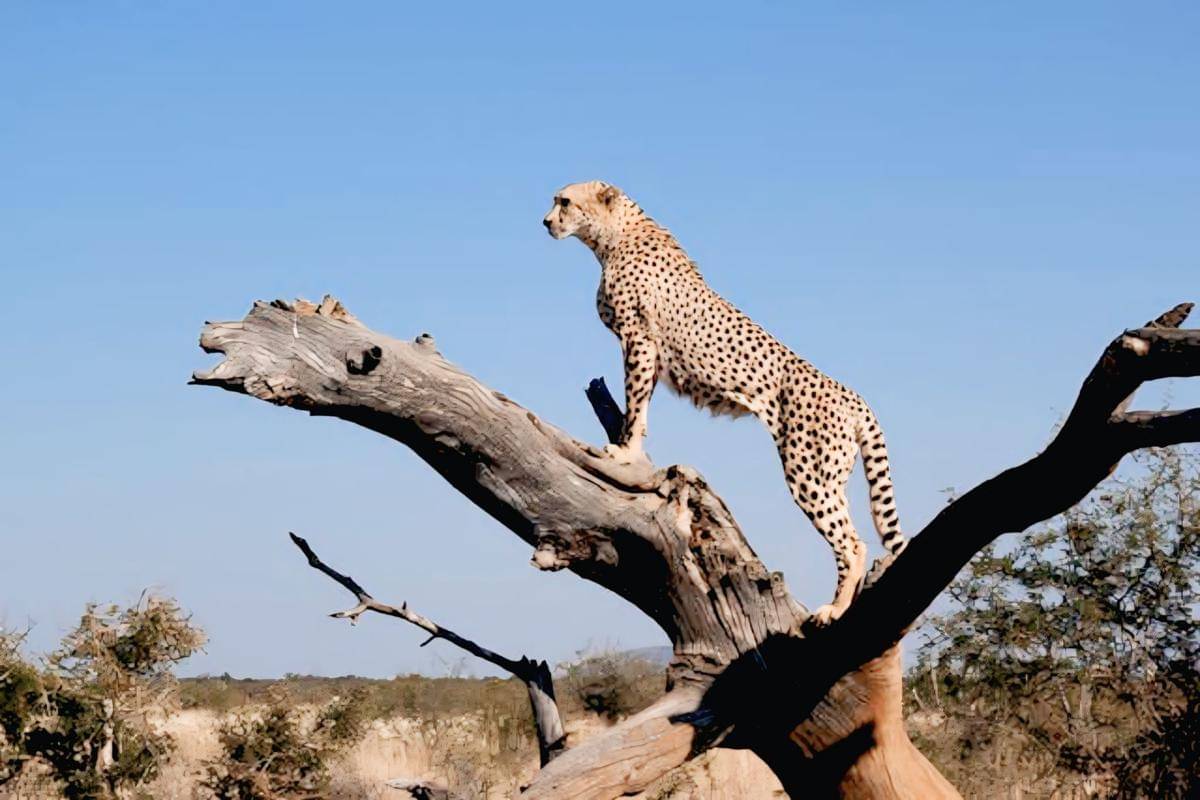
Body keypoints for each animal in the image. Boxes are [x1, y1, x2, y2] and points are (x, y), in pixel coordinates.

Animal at [543, 180, 906, 624]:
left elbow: (636, 403)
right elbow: (640, 406)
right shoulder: (647, 348)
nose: (545, 221)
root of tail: (853, 395)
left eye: (564, 202)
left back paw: (833, 609)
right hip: (833, 474)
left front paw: (625, 452)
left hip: (808, 471)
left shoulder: (639, 339)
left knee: (853, 543)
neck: (613, 236)